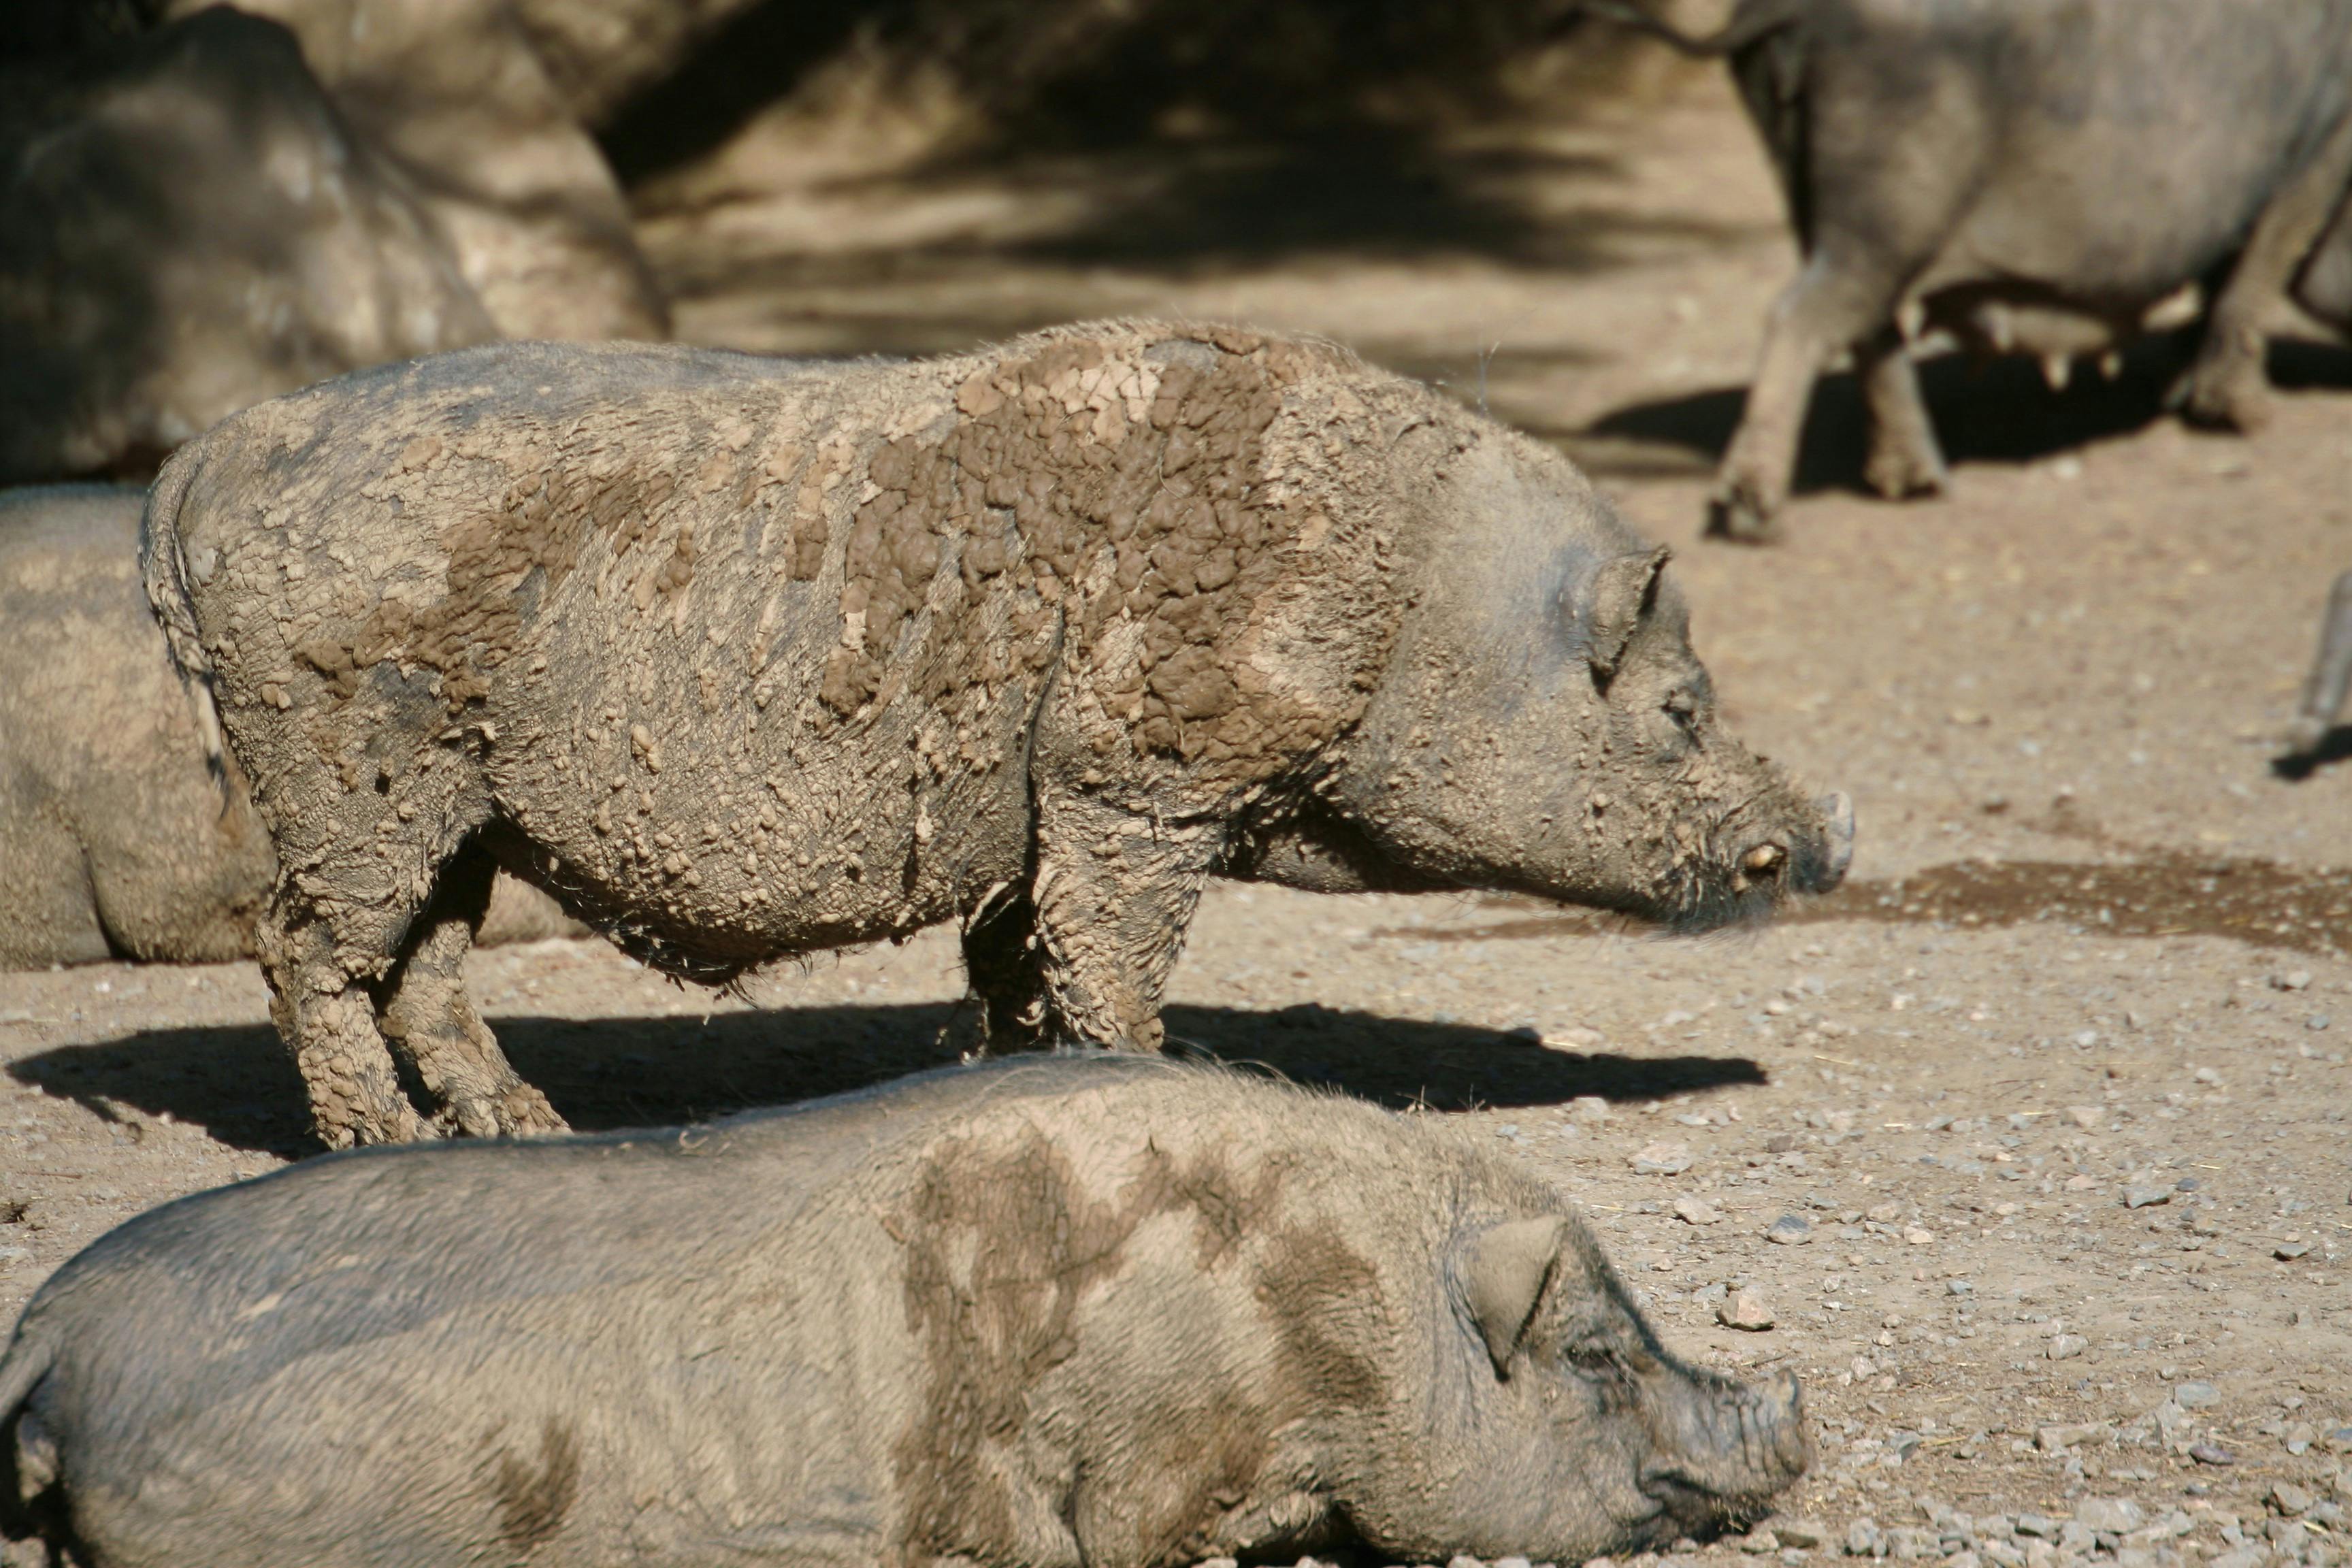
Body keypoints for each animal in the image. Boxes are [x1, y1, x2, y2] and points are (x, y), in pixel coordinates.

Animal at [147, 324, 1853, 1147]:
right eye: (1683, 713)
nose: (1823, 840)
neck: (1418, 602)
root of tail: (197, 463)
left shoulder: (1047, 820)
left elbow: (1017, 960)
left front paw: (1013, 1075)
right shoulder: (1134, 779)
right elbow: (1107, 953)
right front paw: (1169, 1081)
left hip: (464, 803)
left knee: (427, 968)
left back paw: (527, 1135)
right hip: (349, 763)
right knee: (305, 954)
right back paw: (372, 1151)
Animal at [1599, 0, 2352, 540]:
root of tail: (1794, 11)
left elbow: (2229, 282)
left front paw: (2180, 389)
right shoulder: (2318, 148)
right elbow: (2261, 271)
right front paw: (2248, 418)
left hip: (1816, 190)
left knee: (1864, 324)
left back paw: (1918, 483)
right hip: (1887, 194)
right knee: (1803, 312)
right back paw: (1758, 517)